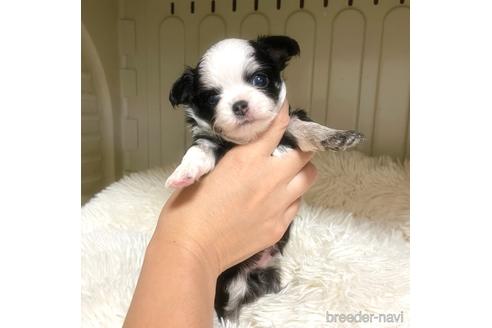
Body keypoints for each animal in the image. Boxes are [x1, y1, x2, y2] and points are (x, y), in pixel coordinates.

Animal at [167, 36, 364, 320]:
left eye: (259, 80)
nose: (239, 105)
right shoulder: (208, 140)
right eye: (212, 97)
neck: (251, 139)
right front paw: (183, 174)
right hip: (232, 284)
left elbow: (305, 128)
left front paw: (336, 136)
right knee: (228, 308)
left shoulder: (289, 123)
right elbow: (198, 151)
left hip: (271, 269)